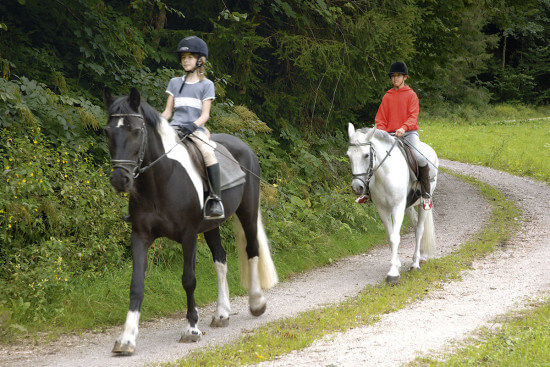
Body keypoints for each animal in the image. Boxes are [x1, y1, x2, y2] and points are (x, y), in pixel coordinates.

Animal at [103, 87, 278, 356]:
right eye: (108, 131)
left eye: (136, 131)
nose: (120, 180)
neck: (161, 179)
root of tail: (244, 147)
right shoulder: (140, 235)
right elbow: (136, 284)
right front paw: (127, 339)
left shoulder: (188, 234)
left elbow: (188, 279)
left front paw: (191, 328)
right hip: (212, 226)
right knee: (221, 260)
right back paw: (222, 313)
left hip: (247, 212)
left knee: (252, 250)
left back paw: (256, 303)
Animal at [350, 123, 440, 284]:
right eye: (349, 155)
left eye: (366, 155)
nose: (356, 187)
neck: (385, 173)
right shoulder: (383, 209)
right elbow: (390, 236)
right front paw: (396, 265)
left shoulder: (397, 207)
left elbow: (395, 237)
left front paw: (392, 274)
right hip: (408, 206)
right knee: (415, 224)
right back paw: (421, 255)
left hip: (423, 203)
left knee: (419, 229)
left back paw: (415, 263)